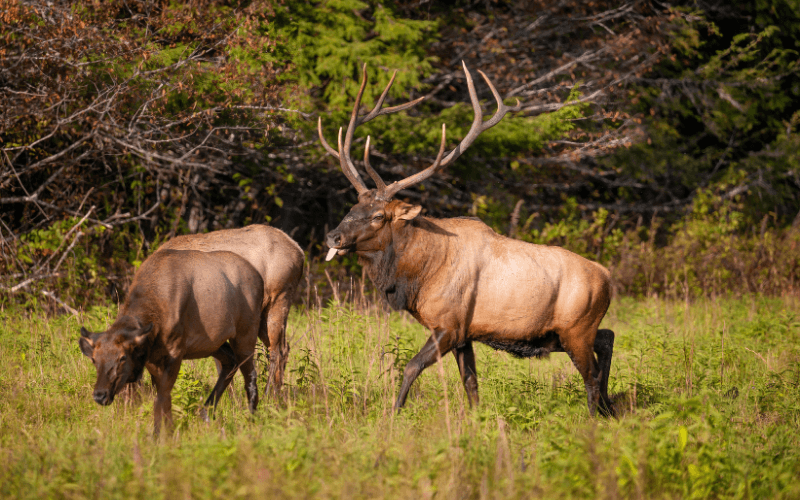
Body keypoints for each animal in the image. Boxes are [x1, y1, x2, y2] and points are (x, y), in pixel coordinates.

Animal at [79, 249, 264, 434]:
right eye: (94, 359)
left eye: (122, 358)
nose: (100, 395)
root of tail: (259, 277)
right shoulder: (152, 357)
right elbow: (162, 397)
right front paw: (166, 429)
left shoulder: (176, 351)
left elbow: (162, 396)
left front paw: (162, 434)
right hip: (214, 344)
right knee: (230, 362)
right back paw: (206, 413)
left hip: (245, 332)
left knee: (250, 374)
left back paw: (252, 418)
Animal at [157, 224, 304, 396]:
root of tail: (299, 252)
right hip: (263, 313)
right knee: (284, 348)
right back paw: (278, 393)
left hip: (278, 298)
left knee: (275, 351)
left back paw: (268, 394)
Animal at [319, 63, 615, 416]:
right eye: (353, 206)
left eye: (379, 216)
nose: (332, 236)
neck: (416, 276)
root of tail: (608, 278)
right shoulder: (464, 334)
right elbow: (471, 384)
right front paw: (476, 419)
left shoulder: (449, 325)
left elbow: (411, 366)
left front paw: (393, 413)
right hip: (563, 333)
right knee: (608, 338)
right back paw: (611, 407)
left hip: (576, 328)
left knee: (591, 375)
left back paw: (595, 417)